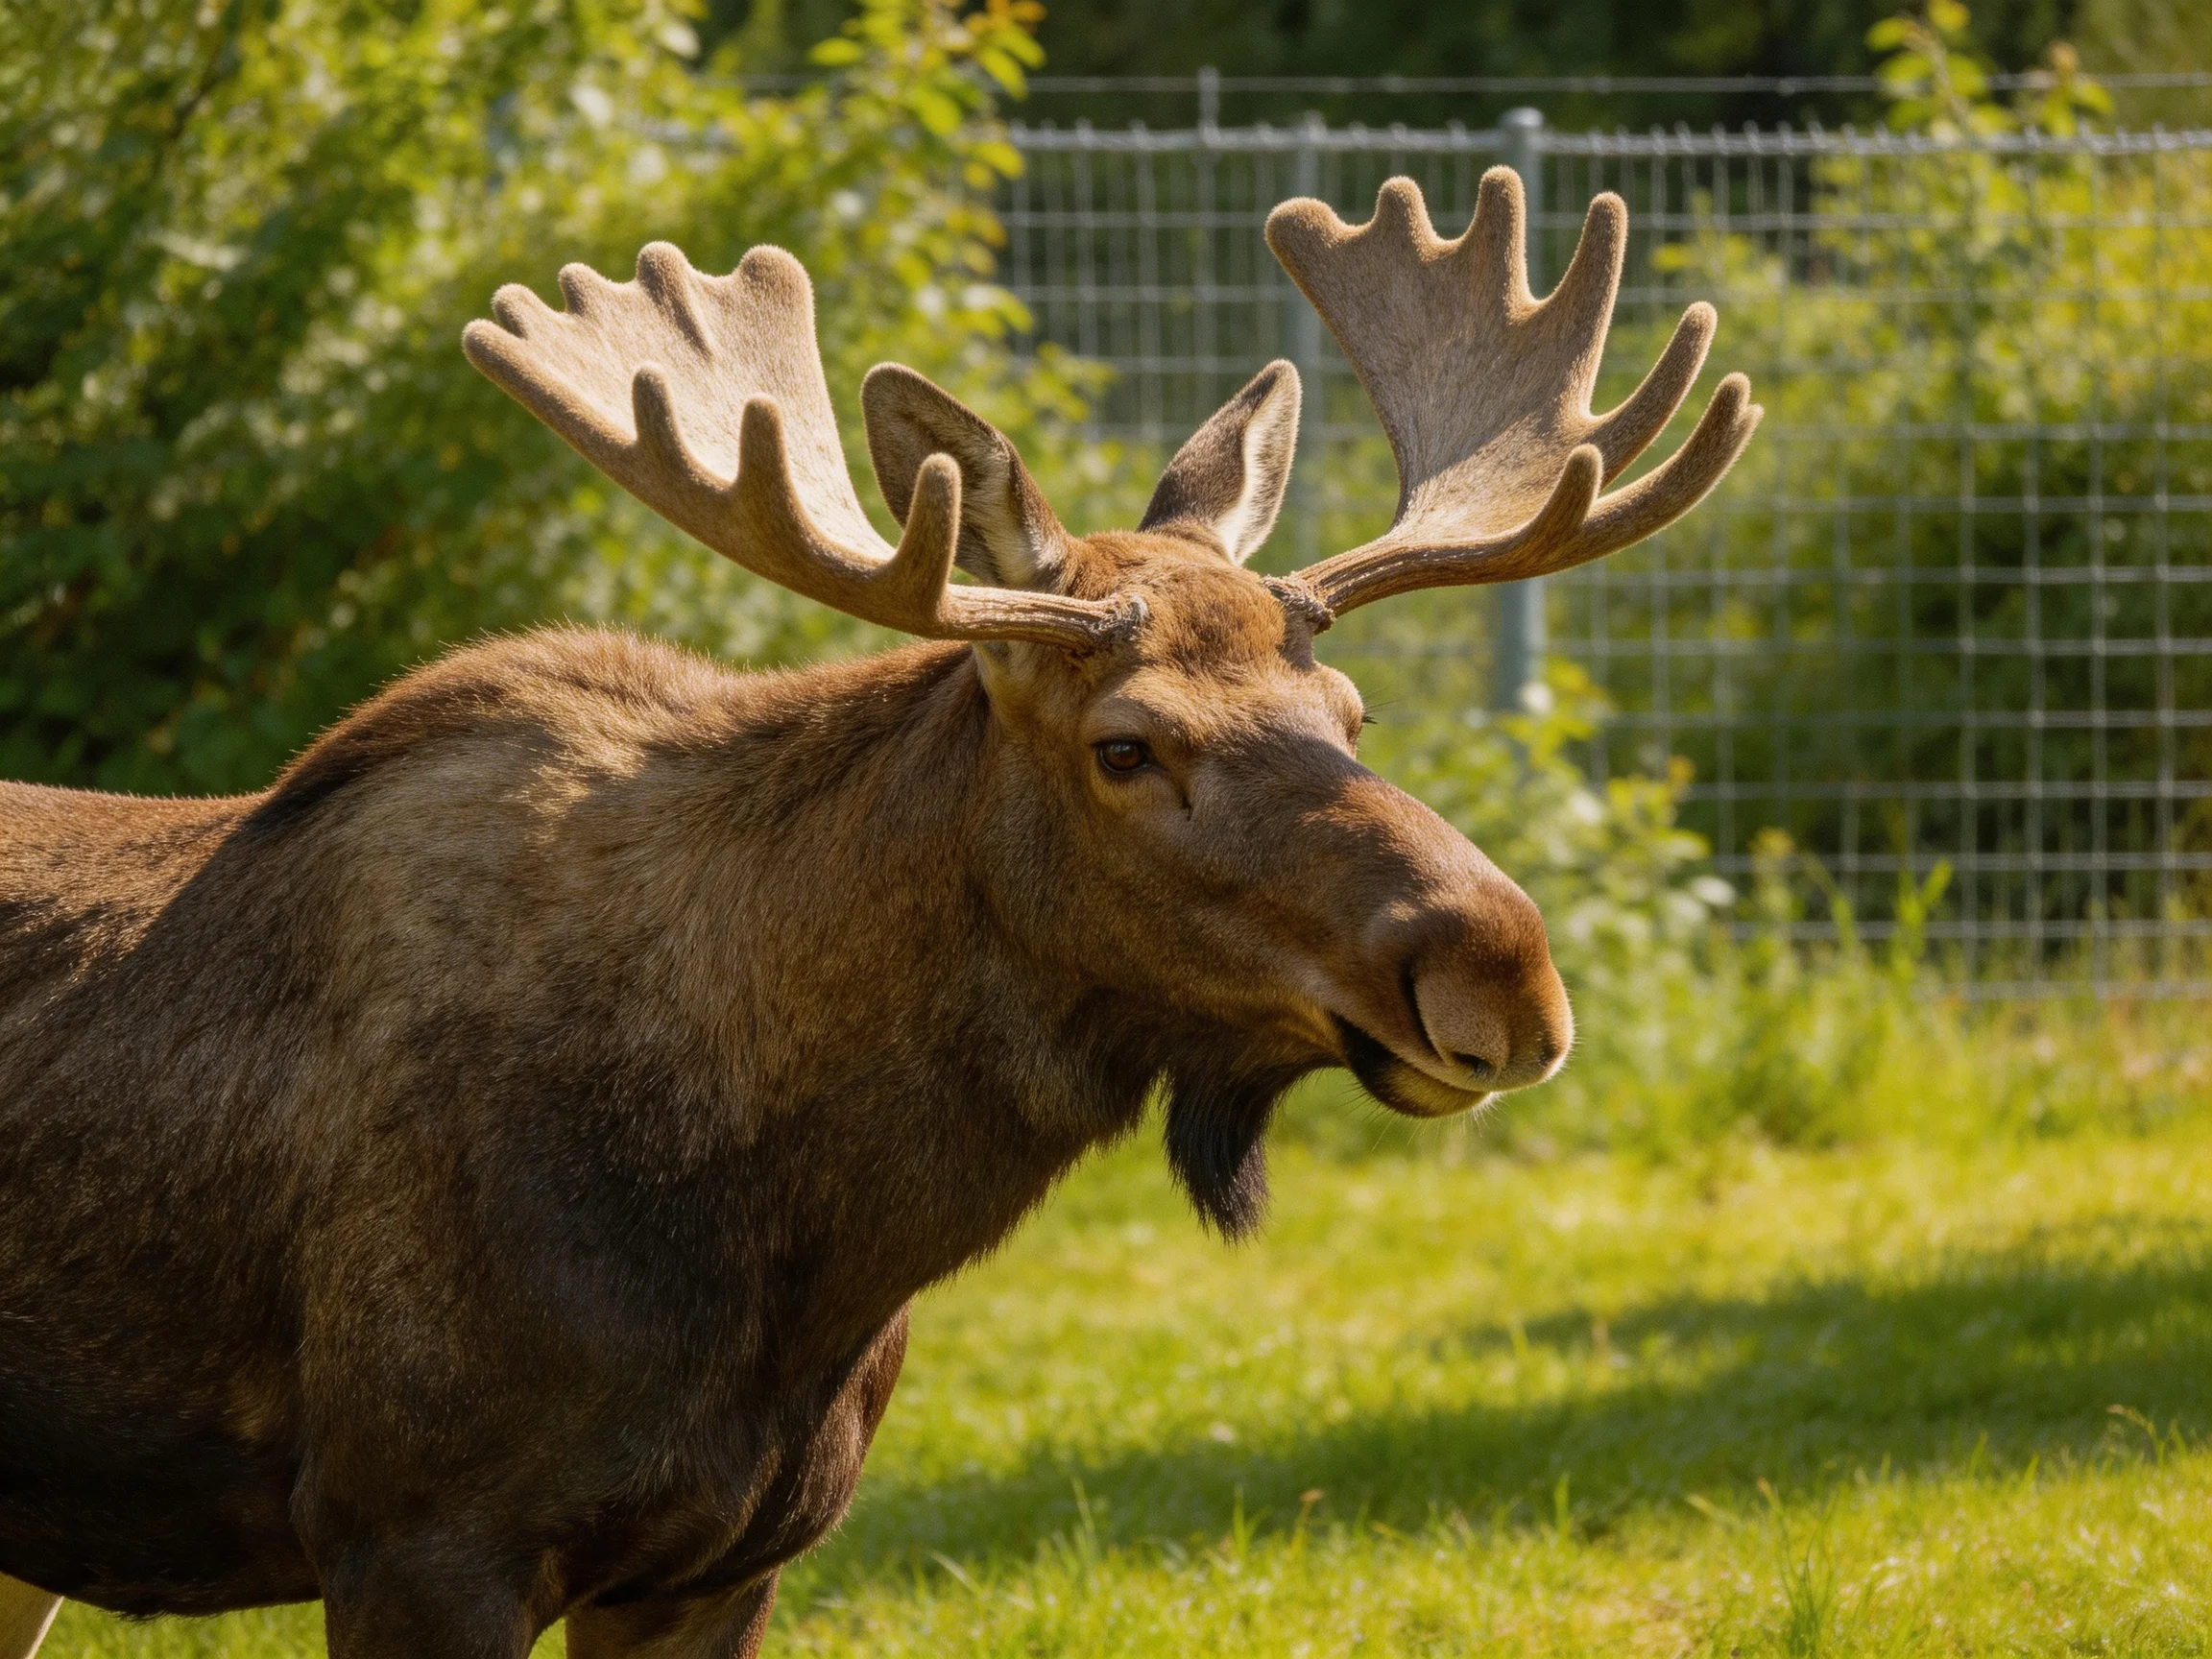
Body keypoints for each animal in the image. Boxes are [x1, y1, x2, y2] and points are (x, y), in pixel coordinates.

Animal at [0, 171, 1757, 1659]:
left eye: (1350, 710)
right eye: (1126, 744)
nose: (1504, 971)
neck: (800, 1246)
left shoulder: (721, 1561)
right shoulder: (410, 1530)